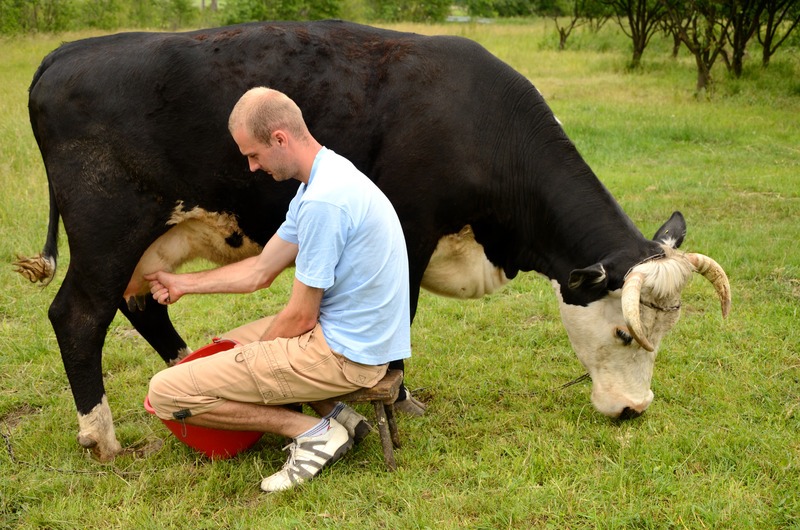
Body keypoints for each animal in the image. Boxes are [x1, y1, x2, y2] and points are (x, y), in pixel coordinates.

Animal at [15, 20, 730, 462]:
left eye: (666, 334)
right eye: (623, 335)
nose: (635, 410)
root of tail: (66, 53)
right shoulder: (408, 234)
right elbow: (400, 322)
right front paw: (403, 399)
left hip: (153, 241)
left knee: (142, 306)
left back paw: (190, 369)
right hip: (108, 231)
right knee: (78, 316)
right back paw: (100, 438)